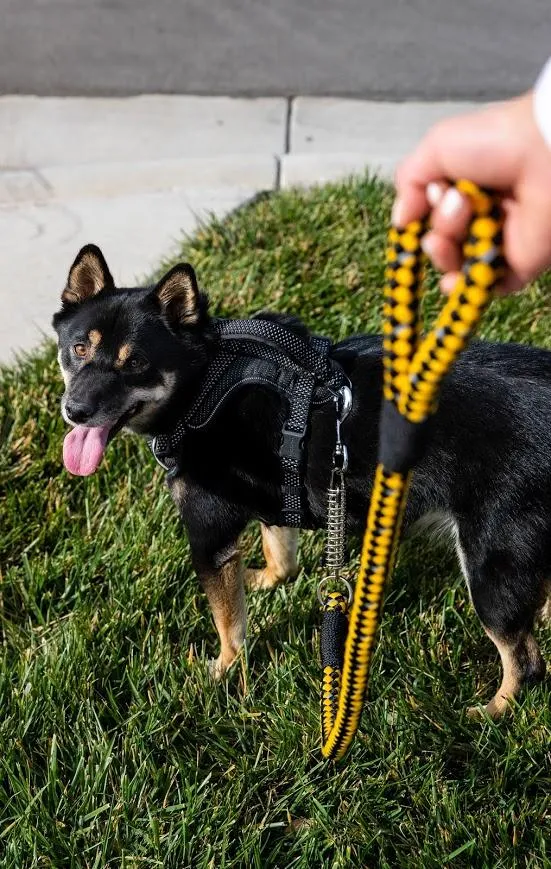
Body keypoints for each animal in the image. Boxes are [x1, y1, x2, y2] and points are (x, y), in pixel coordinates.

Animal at [52, 244, 551, 720]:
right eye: (79, 349)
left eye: (136, 362)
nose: (75, 411)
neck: (204, 384)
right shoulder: (275, 494)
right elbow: (281, 552)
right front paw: (267, 580)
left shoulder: (208, 535)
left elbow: (228, 622)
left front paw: (222, 669)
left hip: (490, 564)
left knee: (525, 660)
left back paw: (491, 712)